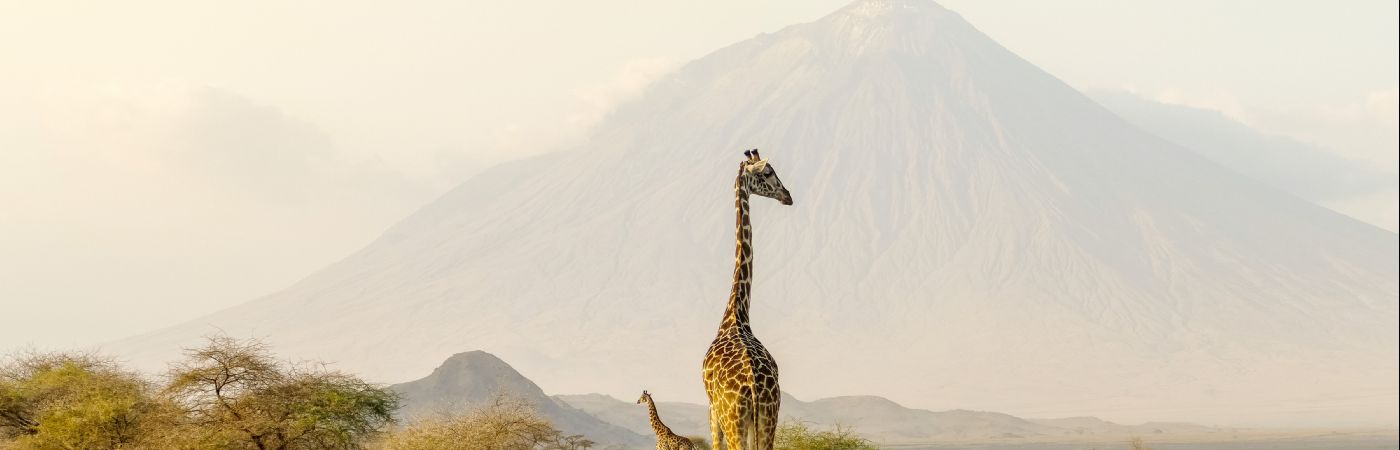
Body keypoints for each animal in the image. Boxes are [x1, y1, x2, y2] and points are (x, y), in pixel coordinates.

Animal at [705, 148, 795, 448]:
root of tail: (755, 388)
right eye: (768, 172)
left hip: (734, 420)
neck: (737, 314)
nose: (787, 195)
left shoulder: (711, 409)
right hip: (768, 418)